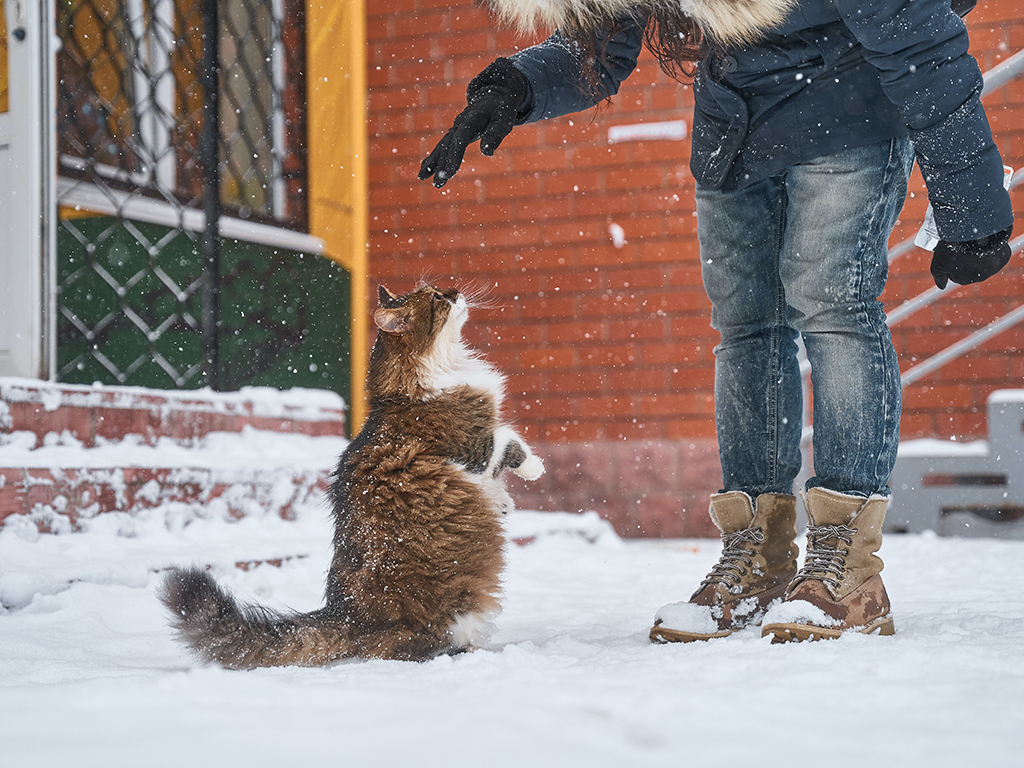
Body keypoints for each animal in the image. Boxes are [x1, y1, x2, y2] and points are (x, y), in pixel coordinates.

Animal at [157, 282, 544, 667]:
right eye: (436, 298)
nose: (454, 291)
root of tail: (345, 614)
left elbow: (500, 467)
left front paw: (503, 502)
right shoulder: (474, 448)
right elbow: (511, 442)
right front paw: (534, 469)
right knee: (414, 647)